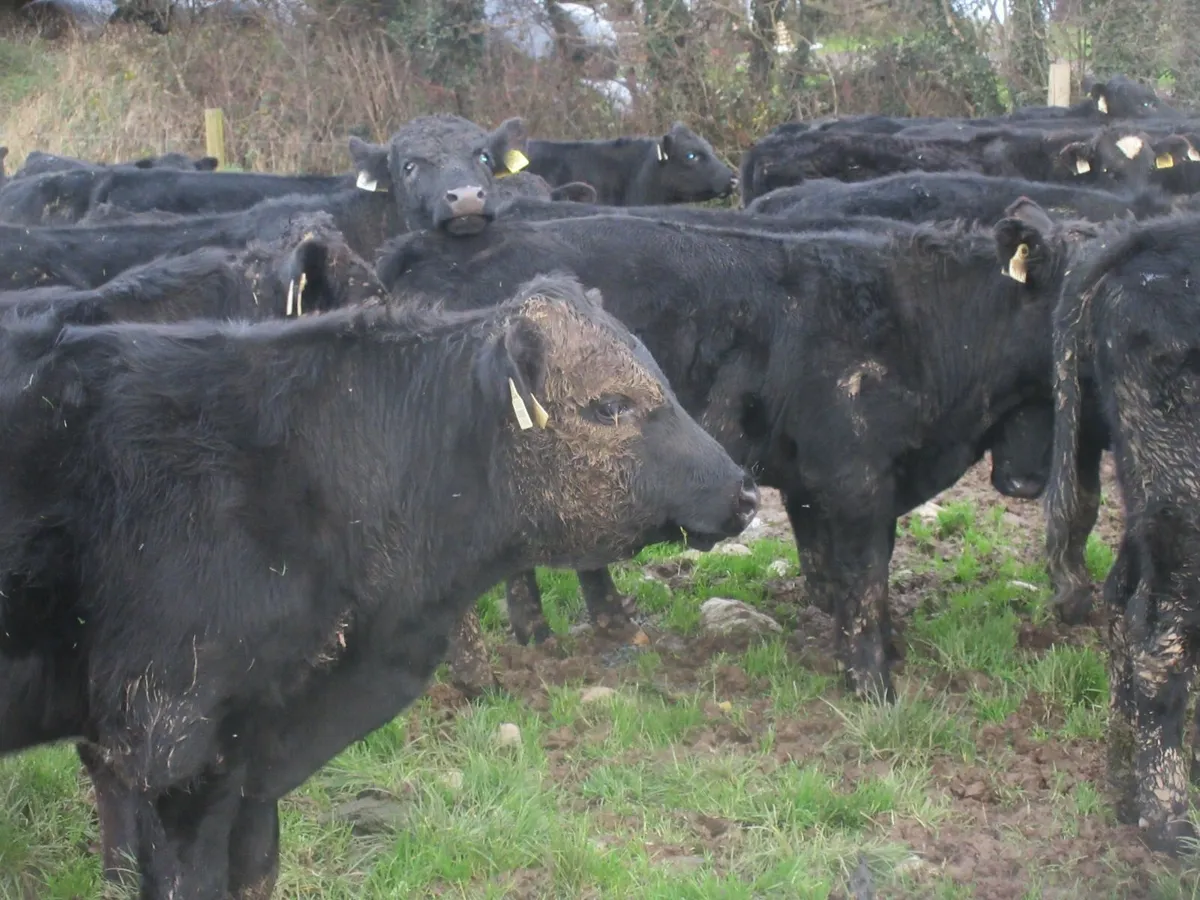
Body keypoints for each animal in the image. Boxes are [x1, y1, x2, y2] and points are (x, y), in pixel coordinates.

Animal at [375, 211, 1076, 702]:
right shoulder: (857, 479)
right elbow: (866, 578)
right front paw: (873, 683)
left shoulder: (814, 484)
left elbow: (828, 571)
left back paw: (589, 629)